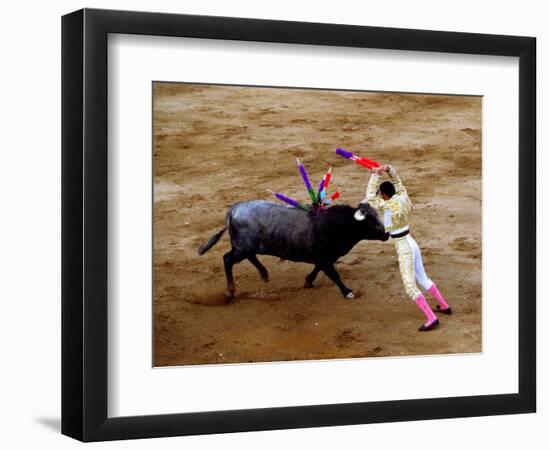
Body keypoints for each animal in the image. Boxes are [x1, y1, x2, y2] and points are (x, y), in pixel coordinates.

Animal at [197, 200, 388, 298]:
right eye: (371, 222)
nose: (386, 234)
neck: (338, 225)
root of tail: (234, 209)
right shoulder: (325, 258)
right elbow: (334, 275)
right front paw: (347, 292)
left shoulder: (324, 259)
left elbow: (318, 270)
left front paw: (308, 281)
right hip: (242, 247)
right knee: (227, 259)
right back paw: (231, 291)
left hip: (245, 247)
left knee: (250, 257)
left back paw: (264, 274)